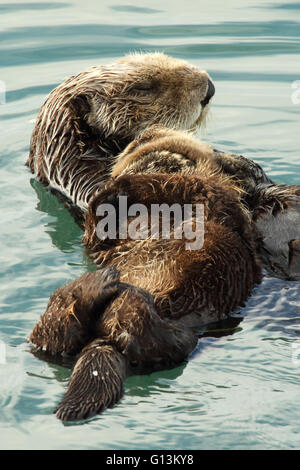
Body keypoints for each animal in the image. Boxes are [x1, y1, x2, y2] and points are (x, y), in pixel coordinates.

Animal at [29, 126, 262, 422]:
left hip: (183, 327)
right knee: (50, 343)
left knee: (156, 342)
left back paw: (112, 290)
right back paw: (94, 286)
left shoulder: (208, 193)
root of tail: (107, 336)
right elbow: (100, 219)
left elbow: (183, 183)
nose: (144, 135)